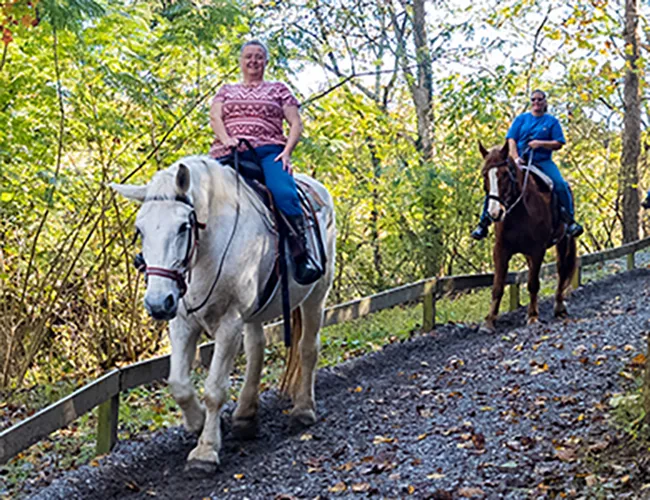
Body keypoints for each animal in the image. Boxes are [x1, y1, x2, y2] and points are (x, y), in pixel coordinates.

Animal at [109, 156, 334, 472]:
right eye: (140, 230)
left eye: (183, 227)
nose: (157, 303)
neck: (207, 250)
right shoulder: (182, 322)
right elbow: (179, 385)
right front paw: (198, 423)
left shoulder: (229, 322)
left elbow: (214, 389)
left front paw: (205, 451)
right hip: (254, 312)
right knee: (256, 349)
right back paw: (245, 416)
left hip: (316, 294)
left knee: (308, 348)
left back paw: (303, 410)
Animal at [478, 141, 576, 330]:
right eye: (485, 175)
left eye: (505, 174)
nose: (495, 213)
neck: (519, 211)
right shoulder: (501, 250)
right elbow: (497, 286)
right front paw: (489, 321)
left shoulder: (537, 250)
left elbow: (533, 284)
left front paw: (532, 316)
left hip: (563, 241)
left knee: (561, 270)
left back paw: (559, 306)